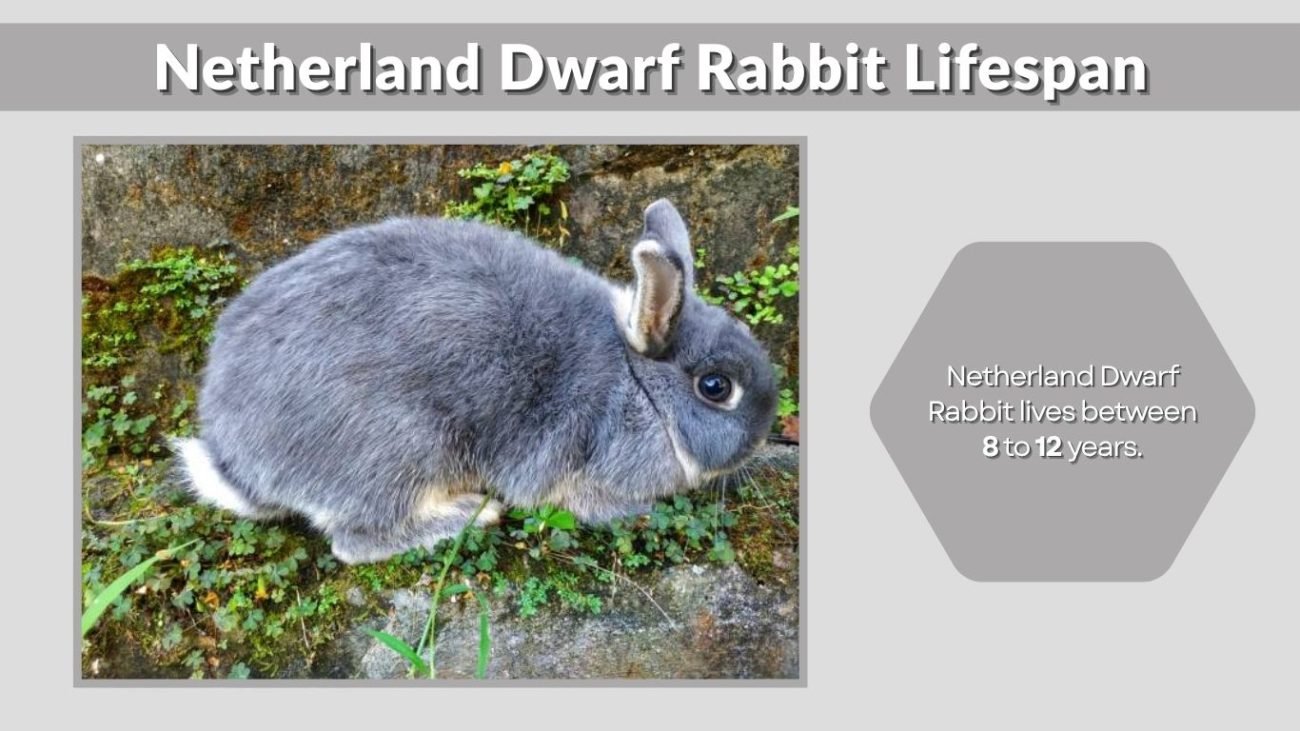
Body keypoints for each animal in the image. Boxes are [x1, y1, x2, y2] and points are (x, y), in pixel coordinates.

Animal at [173, 198, 778, 564]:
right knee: (355, 540)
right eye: (716, 387)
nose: (763, 435)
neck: (639, 386)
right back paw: (475, 512)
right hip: (404, 448)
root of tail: (238, 461)